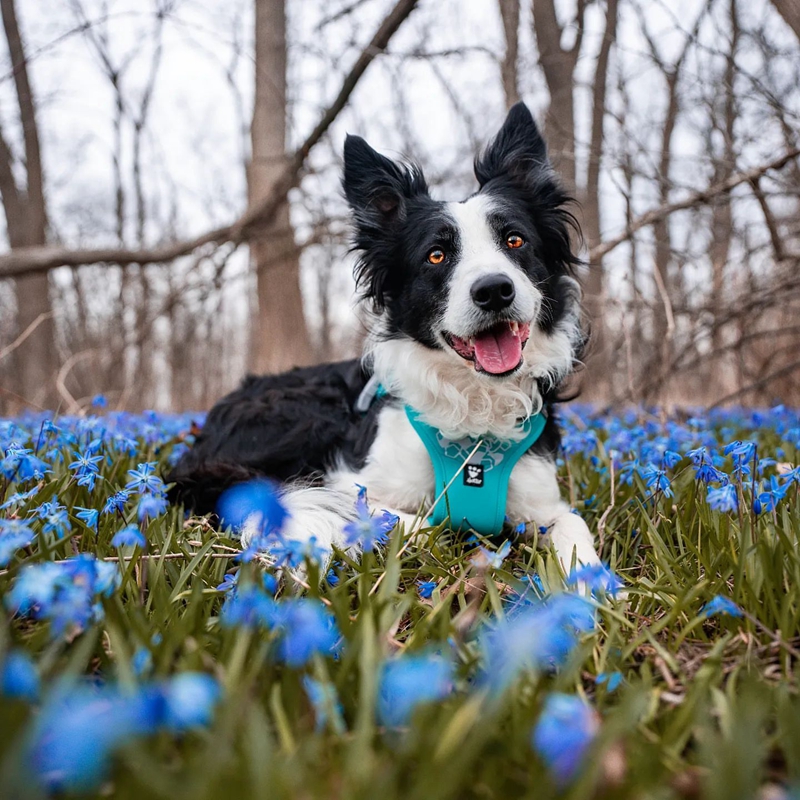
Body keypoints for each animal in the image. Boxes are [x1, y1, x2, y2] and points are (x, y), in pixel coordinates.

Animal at [172, 103, 604, 572]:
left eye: (514, 240)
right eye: (437, 255)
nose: (494, 290)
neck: (475, 409)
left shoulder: (542, 501)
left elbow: (573, 526)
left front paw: (589, 581)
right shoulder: (353, 479)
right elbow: (400, 518)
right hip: (307, 413)